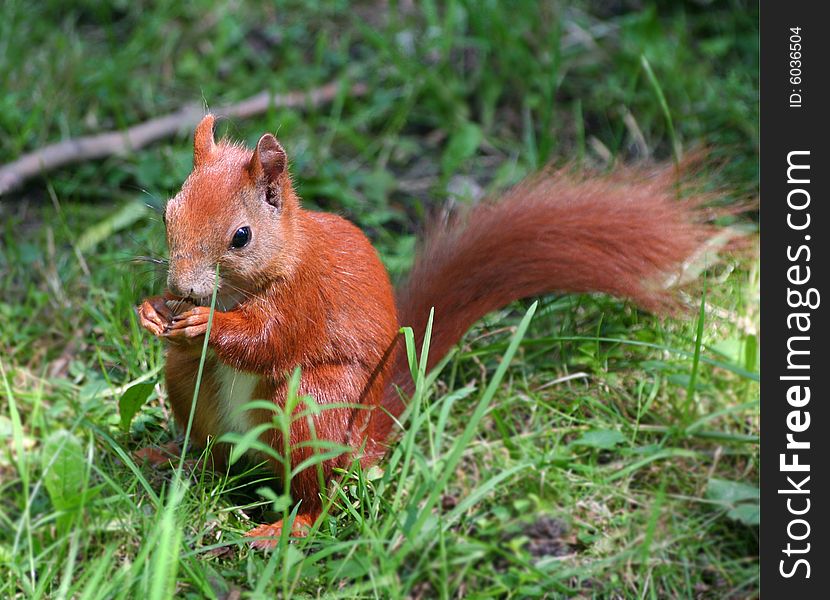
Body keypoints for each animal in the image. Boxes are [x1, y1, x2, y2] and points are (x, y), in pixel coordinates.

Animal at [136, 112, 716, 548]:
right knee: (211, 449)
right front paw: (153, 310)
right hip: (190, 386)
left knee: (319, 494)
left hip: (313, 406)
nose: (183, 287)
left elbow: (266, 340)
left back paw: (286, 527)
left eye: (241, 236)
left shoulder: (303, 299)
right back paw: (168, 456)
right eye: (167, 213)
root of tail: (363, 444)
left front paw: (206, 322)